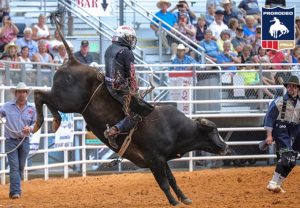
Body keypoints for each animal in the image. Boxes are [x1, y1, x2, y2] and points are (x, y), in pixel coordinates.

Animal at [32, 11, 227, 206]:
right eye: (213, 131)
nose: (225, 146)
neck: (174, 128)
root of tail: (73, 61)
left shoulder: (163, 159)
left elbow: (172, 179)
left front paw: (184, 198)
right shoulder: (154, 159)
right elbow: (163, 182)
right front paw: (174, 201)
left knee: (44, 98)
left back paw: (55, 121)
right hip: (66, 100)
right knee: (39, 94)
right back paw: (43, 123)